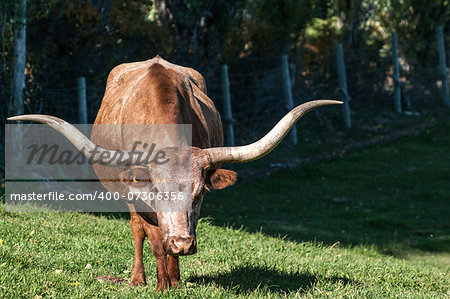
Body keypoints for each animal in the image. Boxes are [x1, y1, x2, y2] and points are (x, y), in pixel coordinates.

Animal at [7, 55, 342, 290]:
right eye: (157, 191)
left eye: (201, 192)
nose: (182, 243)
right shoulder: (141, 198)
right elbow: (154, 240)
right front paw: (160, 285)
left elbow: (169, 246)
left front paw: (173, 279)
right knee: (137, 231)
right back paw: (139, 278)